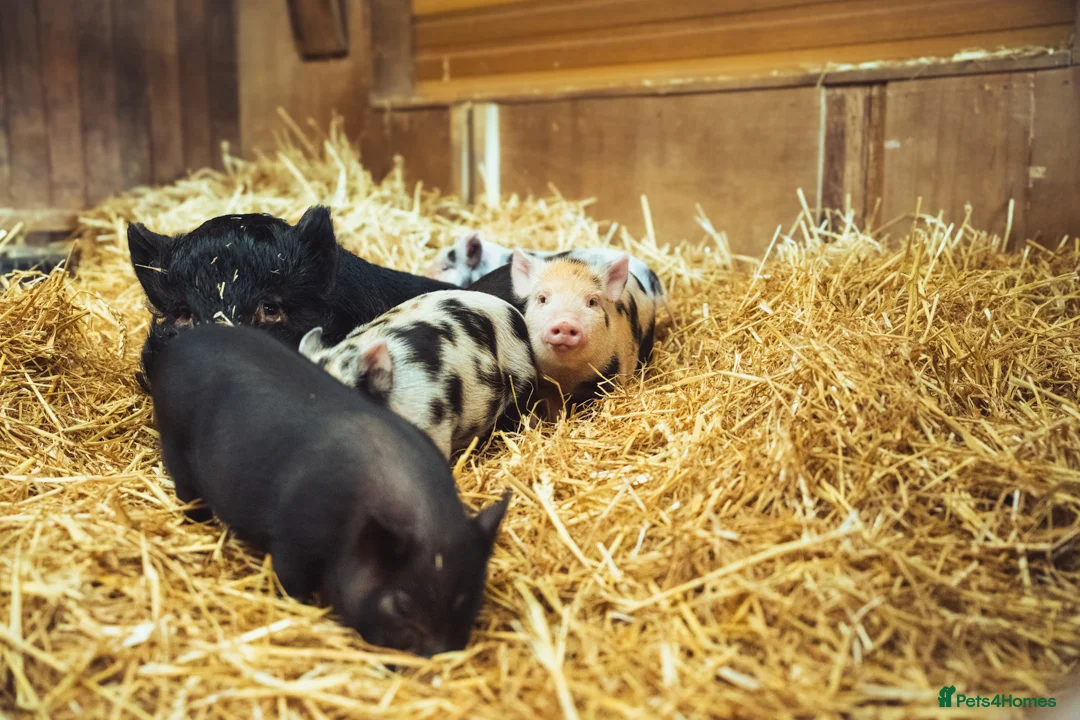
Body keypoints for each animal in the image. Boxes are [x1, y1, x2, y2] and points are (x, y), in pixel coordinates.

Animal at [148, 323, 510, 657]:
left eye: (468, 596)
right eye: (402, 604)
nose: (440, 656)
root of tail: (181, 344)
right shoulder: (291, 537)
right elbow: (289, 579)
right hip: (173, 440)